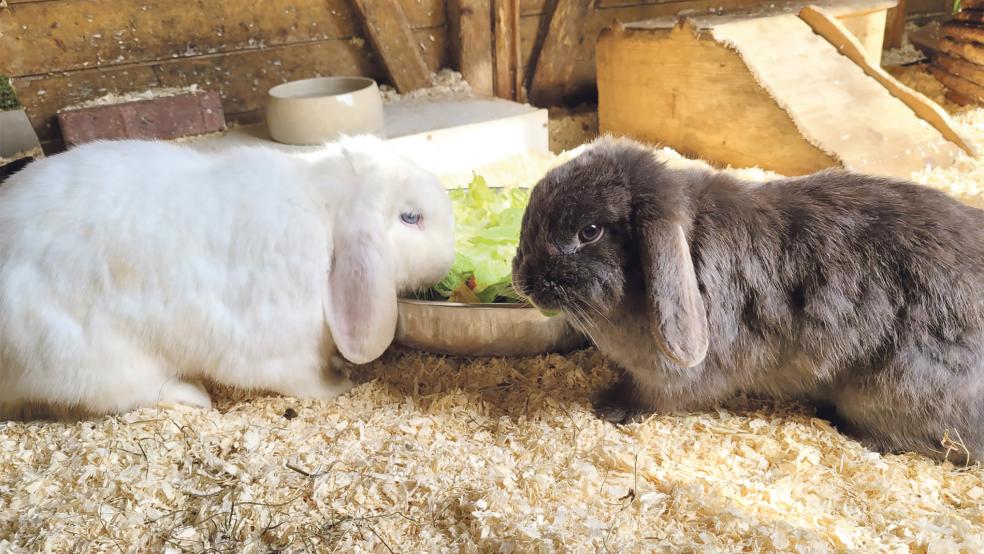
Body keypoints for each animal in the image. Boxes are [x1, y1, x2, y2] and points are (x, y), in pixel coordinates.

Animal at [0, 136, 456, 416]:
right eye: (410, 217)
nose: (450, 258)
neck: (326, 213)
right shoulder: (278, 347)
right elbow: (303, 380)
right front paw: (339, 385)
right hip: (90, 359)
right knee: (135, 391)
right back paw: (195, 397)